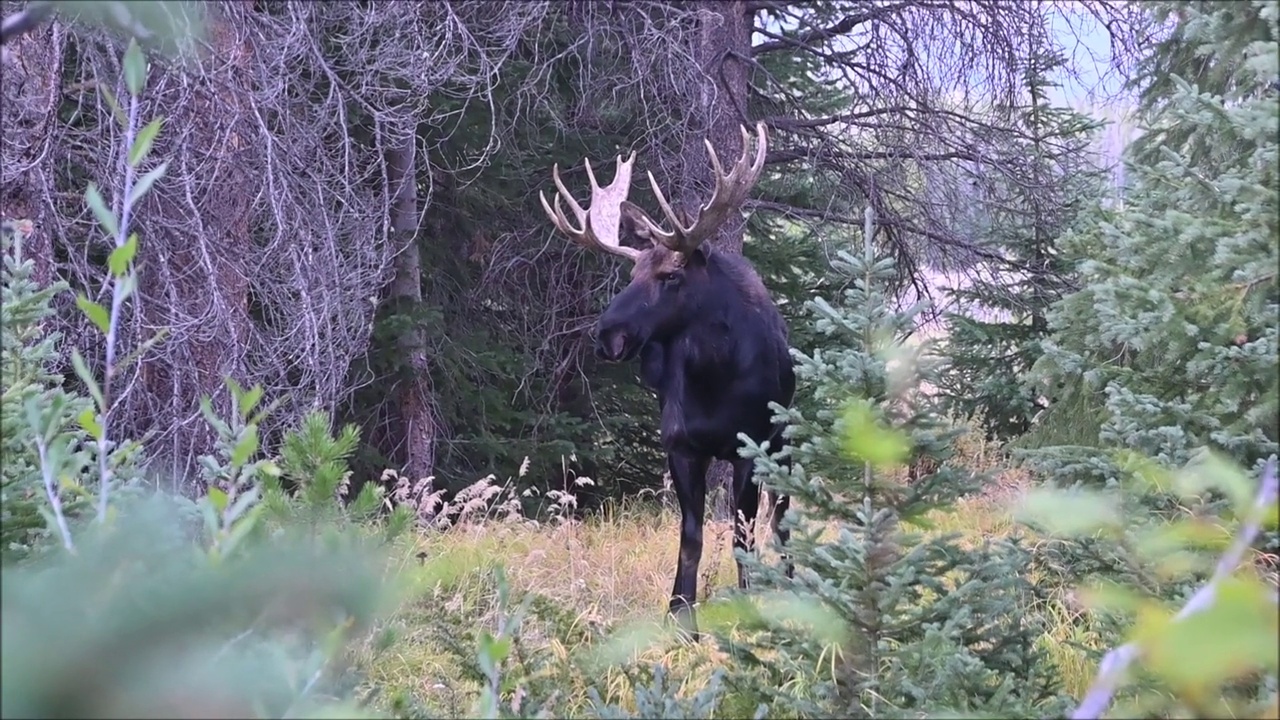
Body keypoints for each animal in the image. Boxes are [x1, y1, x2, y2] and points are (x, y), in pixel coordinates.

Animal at [537, 122, 788, 632]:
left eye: (672, 274)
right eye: (631, 270)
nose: (607, 334)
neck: (715, 379)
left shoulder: (750, 445)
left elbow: (743, 531)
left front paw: (748, 601)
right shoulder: (681, 445)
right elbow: (691, 534)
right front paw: (680, 614)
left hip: (787, 439)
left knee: (783, 518)